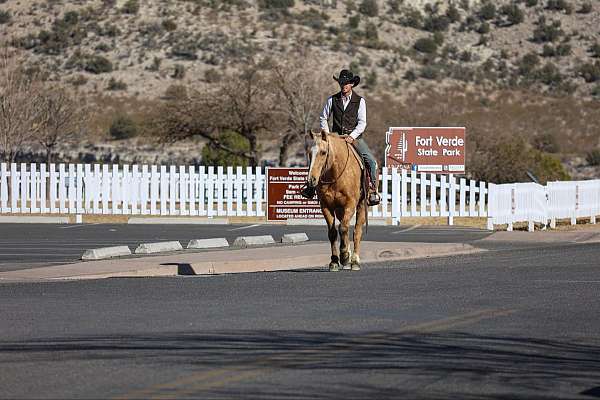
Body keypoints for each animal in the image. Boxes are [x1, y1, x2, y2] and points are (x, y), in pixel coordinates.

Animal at [308, 130, 368, 270]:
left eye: (323, 152)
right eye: (309, 153)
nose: (311, 179)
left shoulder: (350, 204)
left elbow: (343, 228)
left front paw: (344, 255)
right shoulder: (326, 206)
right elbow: (333, 232)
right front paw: (335, 261)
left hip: (361, 205)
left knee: (357, 230)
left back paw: (354, 260)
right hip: (339, 210)